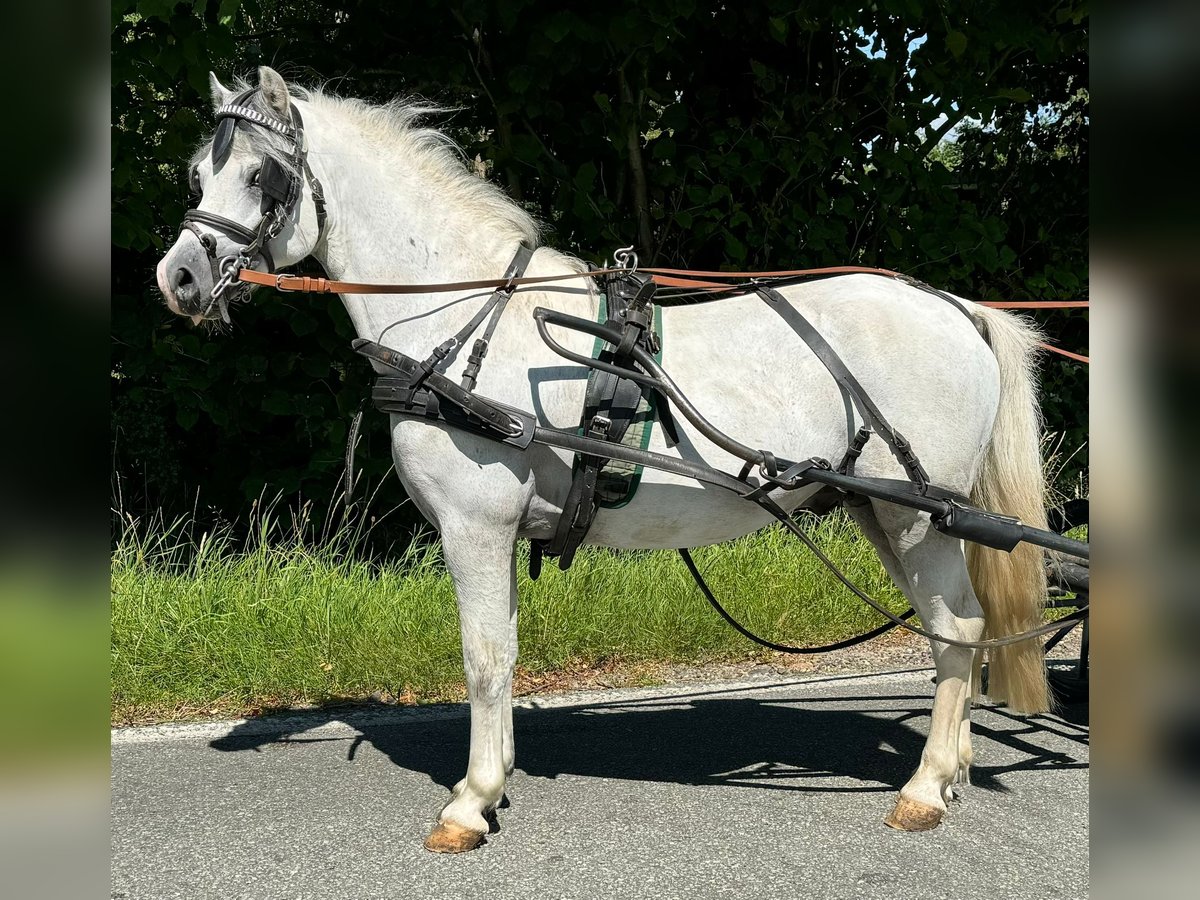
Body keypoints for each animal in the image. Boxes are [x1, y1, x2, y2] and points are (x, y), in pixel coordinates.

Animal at [157, 68, 1051, 854]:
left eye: (262, 174)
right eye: (199, 172)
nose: (180, 277)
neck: (461, 313)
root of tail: (959, 308)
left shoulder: (475, 526)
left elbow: (484, 658)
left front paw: (470, 803)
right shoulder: (499, 532)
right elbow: (506, 650)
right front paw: (497, 780)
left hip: (914, 514)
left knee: (958, 631)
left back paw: (924, 788)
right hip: (885, 511)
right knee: (953, 631)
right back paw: (953, 767)